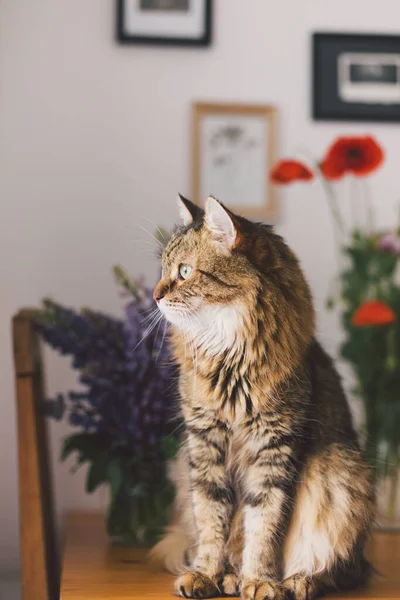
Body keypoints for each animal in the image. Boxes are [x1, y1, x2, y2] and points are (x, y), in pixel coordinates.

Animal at [149, 196, 372, 600]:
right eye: (163, 269)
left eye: (185, 271)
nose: (155, 296)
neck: (230, 362)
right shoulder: (204, 444)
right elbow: (211, 521)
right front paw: (205, 574)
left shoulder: (275, 449)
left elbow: (264, 526)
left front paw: (260, 581)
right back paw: (229, 577)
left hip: (342, 473)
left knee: (337, 569)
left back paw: (297, 581)